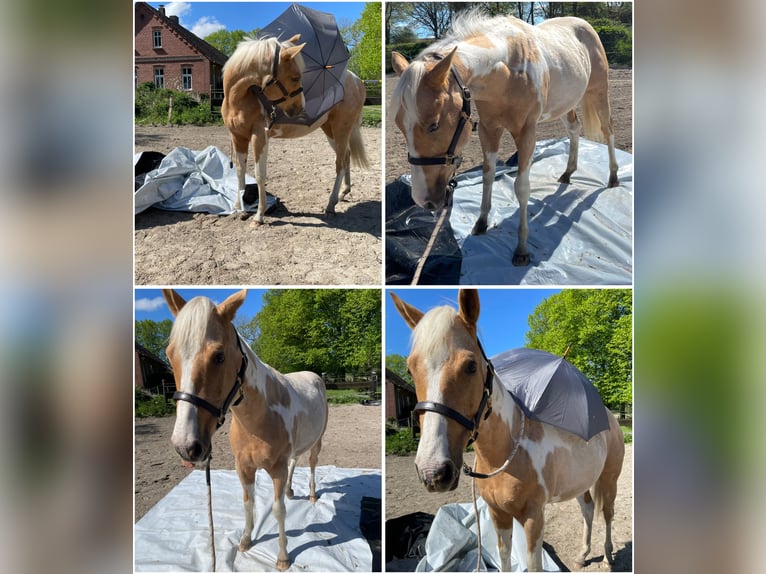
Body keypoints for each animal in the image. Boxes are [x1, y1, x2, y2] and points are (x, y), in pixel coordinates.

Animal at [162, 289, 328, 571]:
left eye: (219, 356)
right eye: (169, 355)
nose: (186, 446)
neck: (257, 419)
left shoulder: (276, 469)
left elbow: (278, 511)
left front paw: (282, 557)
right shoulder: (244, 467)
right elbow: (248, 503)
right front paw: (246, 541)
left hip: (317, 441)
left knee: (313, 464)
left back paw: (313, 495)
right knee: (296, 460)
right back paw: (290, 491)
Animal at [222, 35, 369, 224]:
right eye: (295, 77)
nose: (301, 108)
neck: (239, 99)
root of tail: (357, 81)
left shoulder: (259, 137)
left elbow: (259, 174)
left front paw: (259, 215)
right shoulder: (238, 136)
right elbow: (240, 170)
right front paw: (238, 208)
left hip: (341, 128)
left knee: (340, 163)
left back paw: (331, 205)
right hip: (330, 130)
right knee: (346, 156)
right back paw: (343, 193)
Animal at [390, 289, 624, 571]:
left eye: (470, 366)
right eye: (410, 368)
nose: (433, 472)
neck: (507, 453)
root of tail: (610, 419)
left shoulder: (533, 519)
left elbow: (534, 565)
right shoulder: (498, 515)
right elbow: (504, 559)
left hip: (609, 480)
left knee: (608, 514)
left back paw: (609, 557)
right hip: (580, 482)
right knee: (588, 510)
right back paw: (582, 555)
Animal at [391, 12, 620, 266]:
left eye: (434, 125)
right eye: (399, 126)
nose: (423, 200)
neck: (507, 69)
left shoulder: (527, 133)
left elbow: (521, 187)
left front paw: (522, 249)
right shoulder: (489, 129)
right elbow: (487, 175)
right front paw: (481, 223)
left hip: (599, 93)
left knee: (608, 131)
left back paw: (613, 177)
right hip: (566, 103)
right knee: (574, 129)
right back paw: (568, 172)